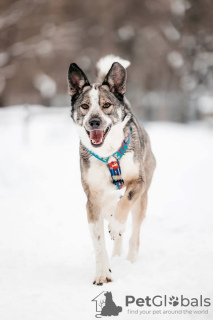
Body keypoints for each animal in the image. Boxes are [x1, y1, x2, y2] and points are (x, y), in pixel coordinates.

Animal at [67, 54, 156, 284]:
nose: (94, 121)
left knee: (134, 231)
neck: (109, 155)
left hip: (143, 197)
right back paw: (116, 253)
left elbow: (125, 202)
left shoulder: (138, 181)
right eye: (85, 106)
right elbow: (98, 242)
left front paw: (117, 227)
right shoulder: (92, 200)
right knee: (113, 216)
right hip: (105, 202)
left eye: (106, 105)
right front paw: (102, 274)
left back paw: (130, 257)